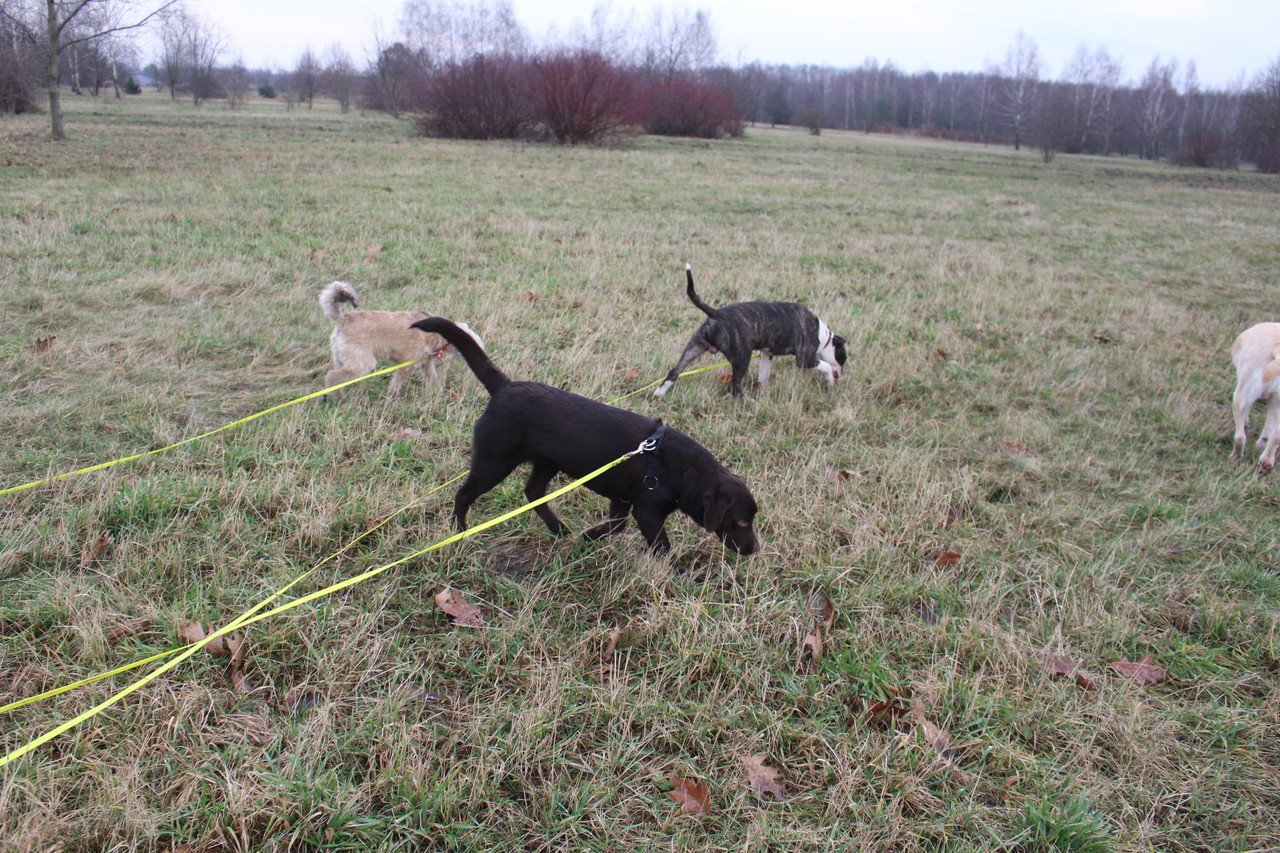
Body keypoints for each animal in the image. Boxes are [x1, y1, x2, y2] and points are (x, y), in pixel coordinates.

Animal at [319, 281, 483, 398]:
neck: (440, 333)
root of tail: (342, 319)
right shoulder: (407, 365)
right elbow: (396, 383)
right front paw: (392, 398)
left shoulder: (426, 363)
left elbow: (433, 377)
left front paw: (437, 392)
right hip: (361, 363)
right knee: (331, 376)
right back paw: (333, 398)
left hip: (343, 359)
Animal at [409, 317, 760, 556]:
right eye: (742, 522)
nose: (753, 550)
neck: (681, 469)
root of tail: (504, 386)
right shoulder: (646, 511)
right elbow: (661, 545)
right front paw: (677, 575)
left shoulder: (623, 499)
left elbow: (616, 525)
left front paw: (590, 537)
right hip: (494, 460)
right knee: (464, 494)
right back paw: (460, 532)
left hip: (546, 461)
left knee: (533, 492)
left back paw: (558, 529)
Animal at [653, 265, 847, 399]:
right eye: (843, 358)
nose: (842, 376)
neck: (824, 336)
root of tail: (716, 314)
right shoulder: (805, 359)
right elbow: (826, 365)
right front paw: (830, 381)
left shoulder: (766, 354)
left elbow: (764, 375)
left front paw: (763, 392)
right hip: (741, 357)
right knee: (734, 387)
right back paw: (747, 401)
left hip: (694, 347)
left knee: (674, 372)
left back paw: (659, 394)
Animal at [1230, 322, 1280, 474]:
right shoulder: (1274, 402)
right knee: (1275, 437)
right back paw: (1266, 462)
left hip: (1240, 395)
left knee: (1240, 437)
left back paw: (1235, 456)